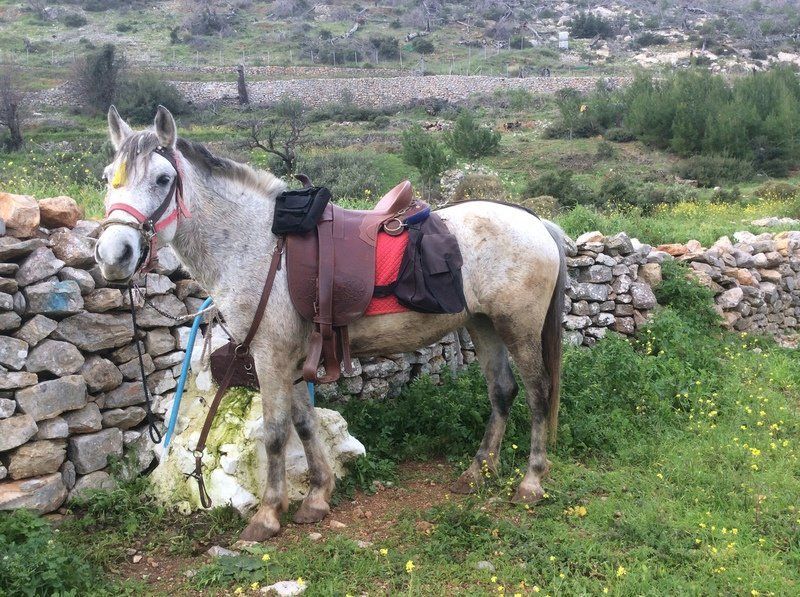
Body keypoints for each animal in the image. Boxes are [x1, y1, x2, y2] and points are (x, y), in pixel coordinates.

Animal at [94, 105, 567, 541]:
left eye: (162, 179)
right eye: (107, 177)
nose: (114, 255)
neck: (259, 247)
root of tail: (535, 222)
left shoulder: (269, 356)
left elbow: (275, 433)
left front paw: (268, 515)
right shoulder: (289, 358)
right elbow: (304, 424)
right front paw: (317, 497)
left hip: (518, 328)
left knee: (538, 393)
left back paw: (531, 482)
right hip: (483, 325)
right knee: (502, 391)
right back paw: (478, 471)